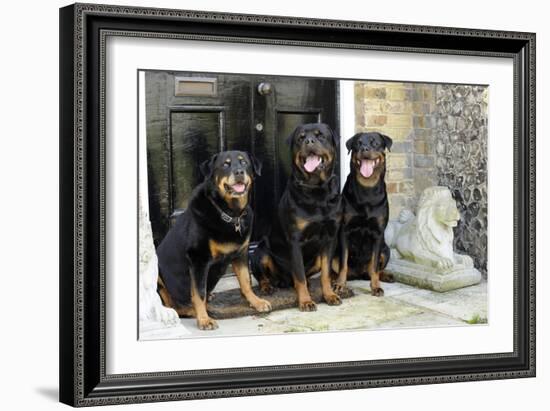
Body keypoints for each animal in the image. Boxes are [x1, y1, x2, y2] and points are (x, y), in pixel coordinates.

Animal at [156, 150, 272, 330]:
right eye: (225, 164)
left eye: (244, 163)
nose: (239, 172)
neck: (230, 213)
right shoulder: (198, 259)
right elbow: (198, 293)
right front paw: (204, 319)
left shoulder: (241, 254)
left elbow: (245, 281)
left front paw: (256, 302)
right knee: (171, 305)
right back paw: (191, 310)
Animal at [252, 124, 342, 310]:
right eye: (301, 138)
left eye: (320, 136)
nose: (309, 141)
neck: (317, 190)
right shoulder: (295, 240)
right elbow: (299, 275)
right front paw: (306, 301)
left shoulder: (330, 238)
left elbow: (325, 273)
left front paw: (329, 295)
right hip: (260, 251)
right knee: (263, 275)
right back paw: (267, 287)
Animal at [334, 134, 394, 298]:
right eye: (357, 144)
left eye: (375, 143)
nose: (364, 148)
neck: (367, 189)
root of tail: (359, 274)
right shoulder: (345, 230)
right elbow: (343, 264)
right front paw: (340, 285)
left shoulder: (378, 233)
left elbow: (374, 266)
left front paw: (376, 287)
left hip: (386, 250)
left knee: (375, 269)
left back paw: (385, 275)